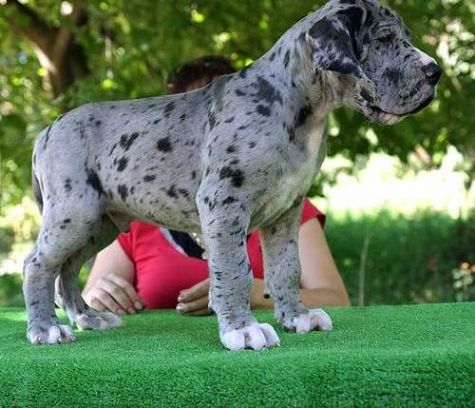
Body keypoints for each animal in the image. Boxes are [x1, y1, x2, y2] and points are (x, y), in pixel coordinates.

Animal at [24, 0, 442, 350]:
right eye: (384, 39)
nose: (435, 71)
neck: (300, 108)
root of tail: (46, 131)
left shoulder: (286, 212)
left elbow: (286, 268)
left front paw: (297, 317)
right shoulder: (224, 202)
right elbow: (235, 269)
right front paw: (242, 330)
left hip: (101, 223)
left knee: (67, 269)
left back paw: (87, 318)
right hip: (73, 214)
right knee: (38, 264)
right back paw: (45, 329)